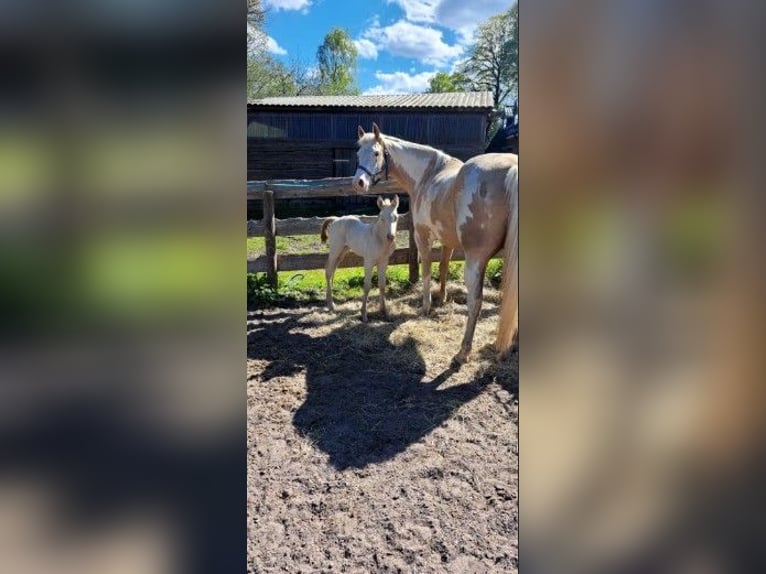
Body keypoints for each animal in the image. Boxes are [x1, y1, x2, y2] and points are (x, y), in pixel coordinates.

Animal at [353, 123, 518, 364]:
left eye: (376, 153)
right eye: (357, 153)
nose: (358, 183)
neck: (428, 174)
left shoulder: (423, 237)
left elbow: (427, 271)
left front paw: (426, 306)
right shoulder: (448, 241)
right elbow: (443, 269)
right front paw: (442, 299)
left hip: (476, 259)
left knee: (475, 302)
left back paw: (462, 353)